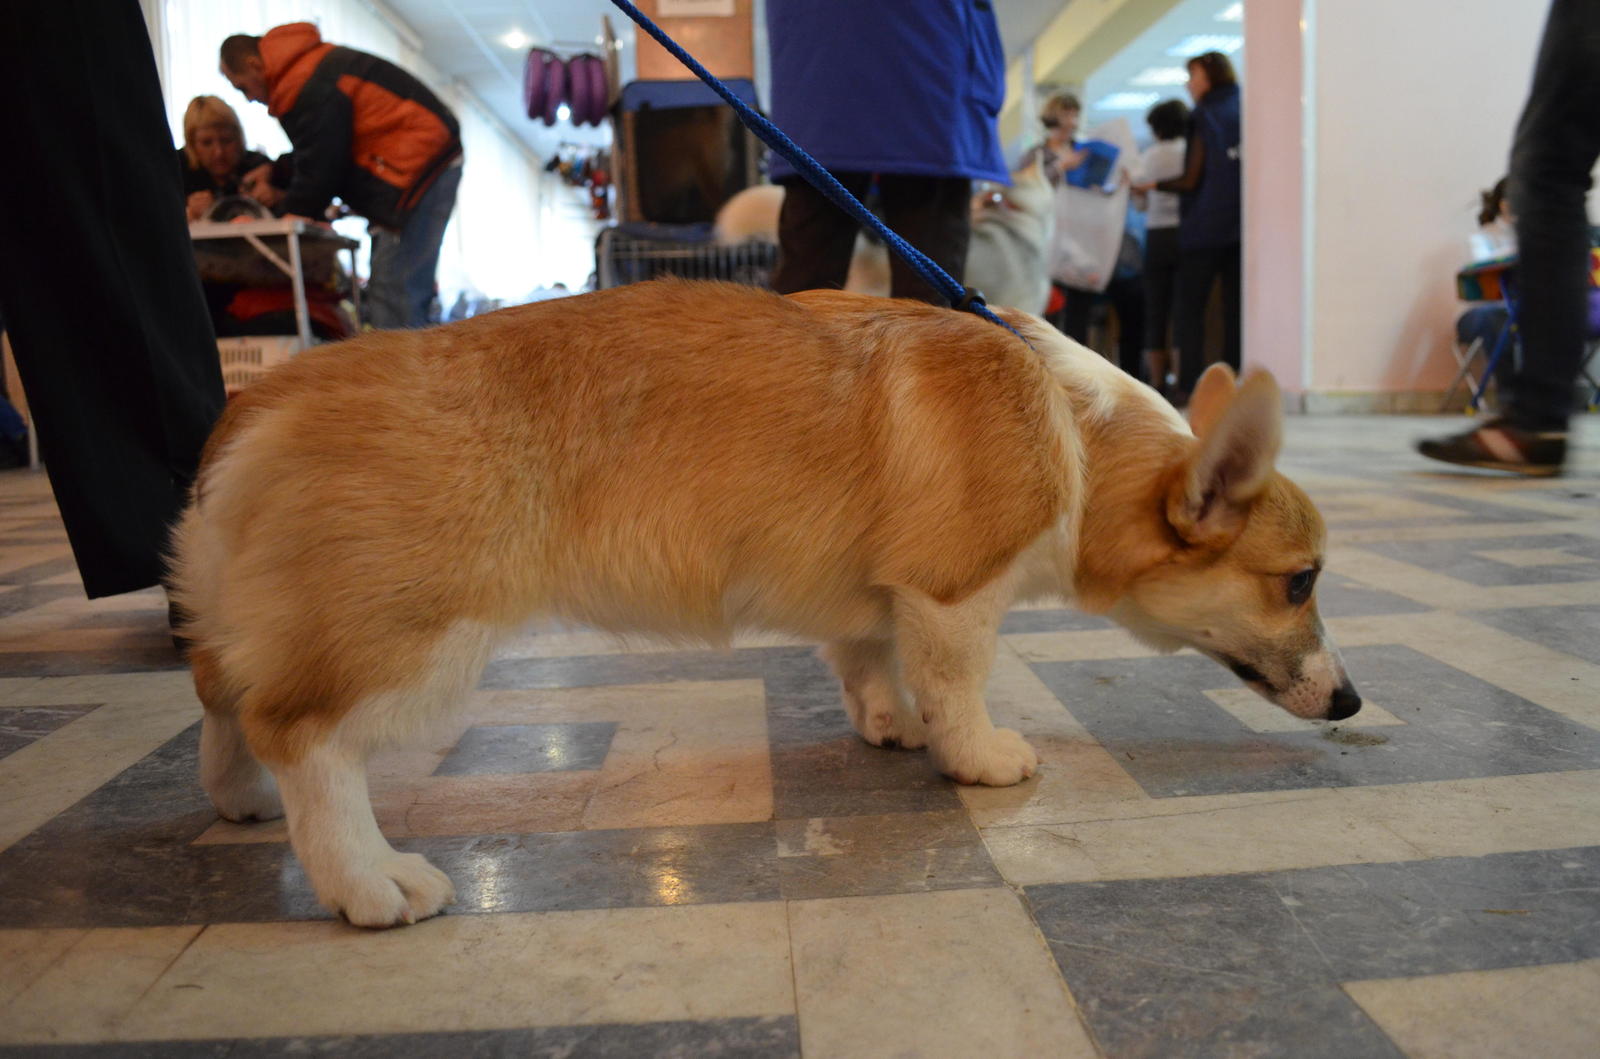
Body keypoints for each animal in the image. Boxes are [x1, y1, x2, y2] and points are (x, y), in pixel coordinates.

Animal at [168, 279, 1356, 927]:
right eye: (1298, 581)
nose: (1350, 702)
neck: (1076, 431)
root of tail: (260, 400)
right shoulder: (954, 590)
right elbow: (959, 682)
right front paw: (976, 757)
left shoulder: (877, 598)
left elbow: (871, 663)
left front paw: (889, 725)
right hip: (413, 638)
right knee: (305, 738)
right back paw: (369, 879)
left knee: (224, 698)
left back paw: (236, 800)